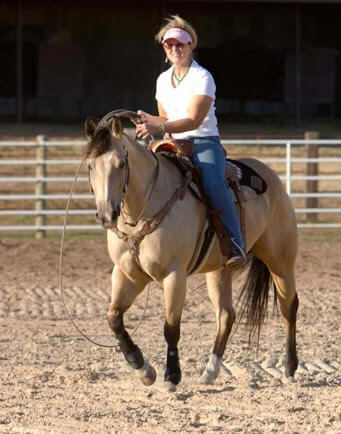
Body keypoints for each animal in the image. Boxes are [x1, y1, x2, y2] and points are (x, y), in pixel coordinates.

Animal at [83, 110, 298, 388]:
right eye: (90, 165)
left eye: (121, 164)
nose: (106, 215)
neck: (143, 209)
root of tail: (269, 174)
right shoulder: (127, 274)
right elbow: (113, 318)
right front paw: (143, 368)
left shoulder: (174, 275)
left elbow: (171, 327)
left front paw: (171, 375)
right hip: (219, 270)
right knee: (226, 315)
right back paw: (210, 371)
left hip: (281, 260)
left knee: (288, 307)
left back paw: (290, 367)